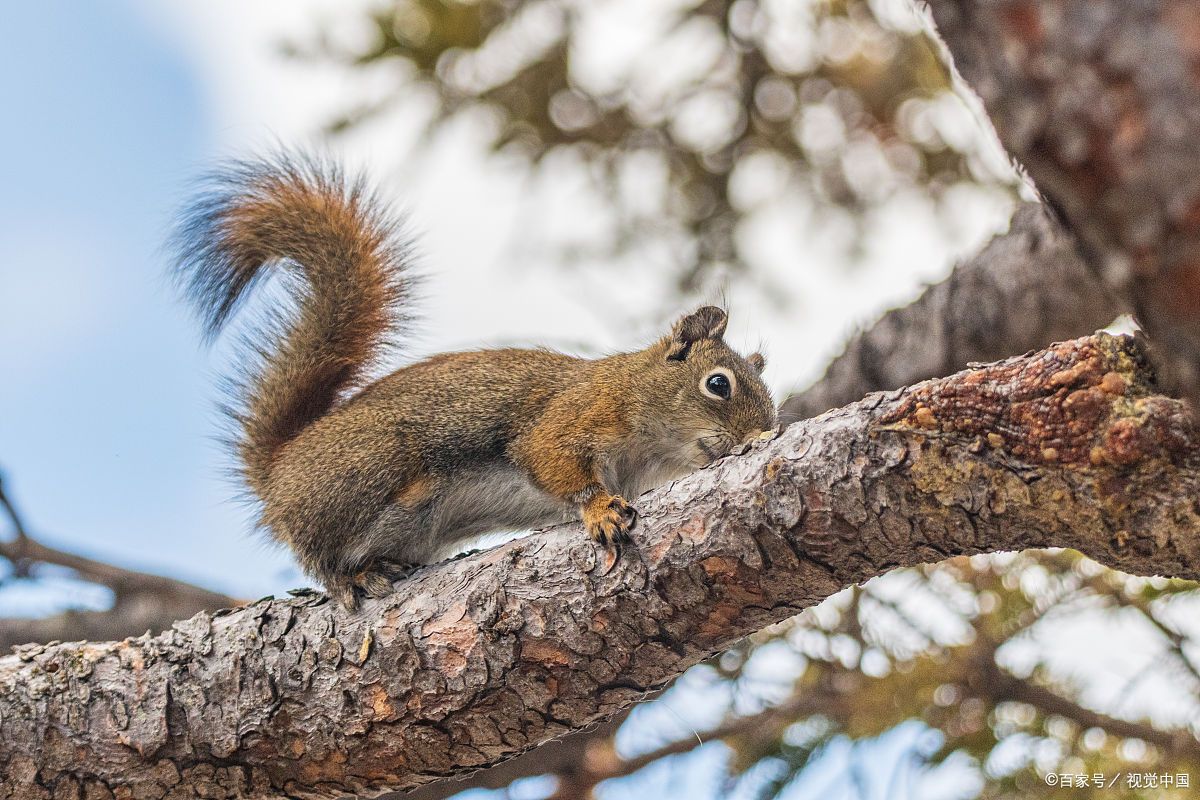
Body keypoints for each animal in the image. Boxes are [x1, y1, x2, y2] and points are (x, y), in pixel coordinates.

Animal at [175, 153, 777, 609]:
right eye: (718, 385)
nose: (760, 436)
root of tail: (280, 471)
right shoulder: (571, 415)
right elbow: (554, 462)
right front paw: (600, 510)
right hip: (366, 468)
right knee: (315, 550)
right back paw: (348, 578)